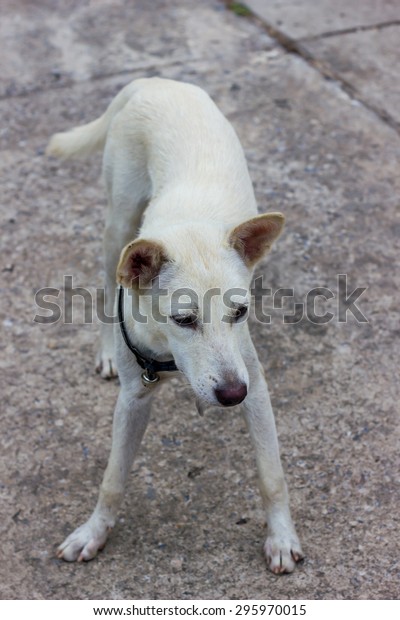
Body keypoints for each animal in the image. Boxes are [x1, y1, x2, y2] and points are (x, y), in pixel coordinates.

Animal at [47, 76, 304, 572]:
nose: (231, 396)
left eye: (240, 312)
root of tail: (153, 80)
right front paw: (93, 532)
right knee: (107, 282)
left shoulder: (255, 384)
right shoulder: (132, 401)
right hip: (119, 224)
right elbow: (112, 480)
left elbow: (272, 475)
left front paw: (281, 537)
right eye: (183, 319)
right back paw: (105, 348)